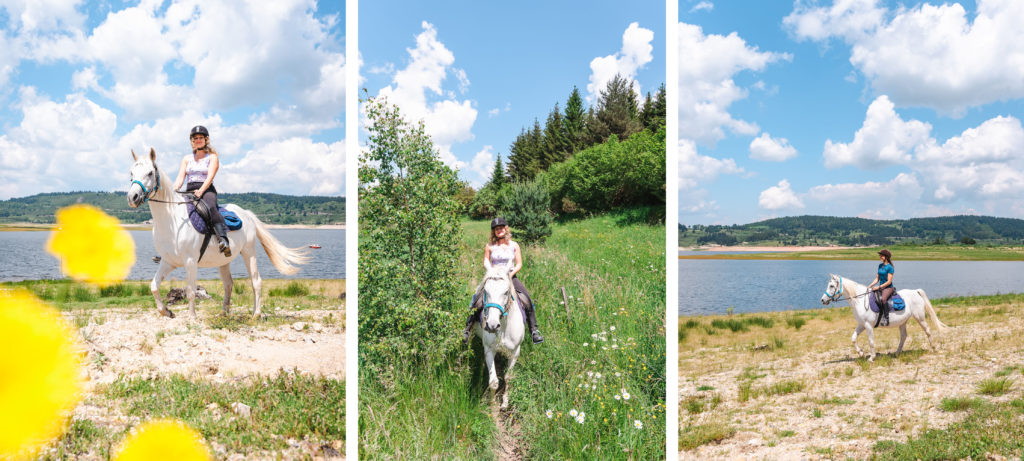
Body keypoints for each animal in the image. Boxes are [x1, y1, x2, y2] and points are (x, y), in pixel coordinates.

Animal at [125, 149, 307, 319]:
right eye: (131, 173)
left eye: (150, 173)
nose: (133, 197)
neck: (172, 221)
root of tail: (247, 214)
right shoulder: (168, 261)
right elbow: (154, 286)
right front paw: (167, 311)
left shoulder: (190, 262)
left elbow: (191, 291)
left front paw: (192, 317)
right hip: (224, 260)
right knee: (228, 284)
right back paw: (224, 312)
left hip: (249, 252)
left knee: (256, 281)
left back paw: (256, 314)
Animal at [468, 266, 524, 407]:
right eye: (486, 291)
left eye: (505, 292)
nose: (492, 325)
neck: (503, 328)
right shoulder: (489, 350)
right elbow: (493, 382)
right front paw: (493, 405)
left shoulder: (515, 352)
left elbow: (508, 377)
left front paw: (505, 403)